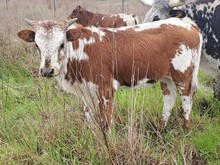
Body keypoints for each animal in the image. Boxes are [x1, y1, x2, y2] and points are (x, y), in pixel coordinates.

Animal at [17, 17, 202, 131]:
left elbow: (106, 121)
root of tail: (187, 22)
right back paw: (159, 130)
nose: (47, 70)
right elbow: (89, 118)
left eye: (62, 44)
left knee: (186, 99)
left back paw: (185, 130)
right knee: (169, 99)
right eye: (37, 45)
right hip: (166, 77)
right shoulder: (87, 92)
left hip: (183, 74)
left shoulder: (106, 89)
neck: (81, 50)